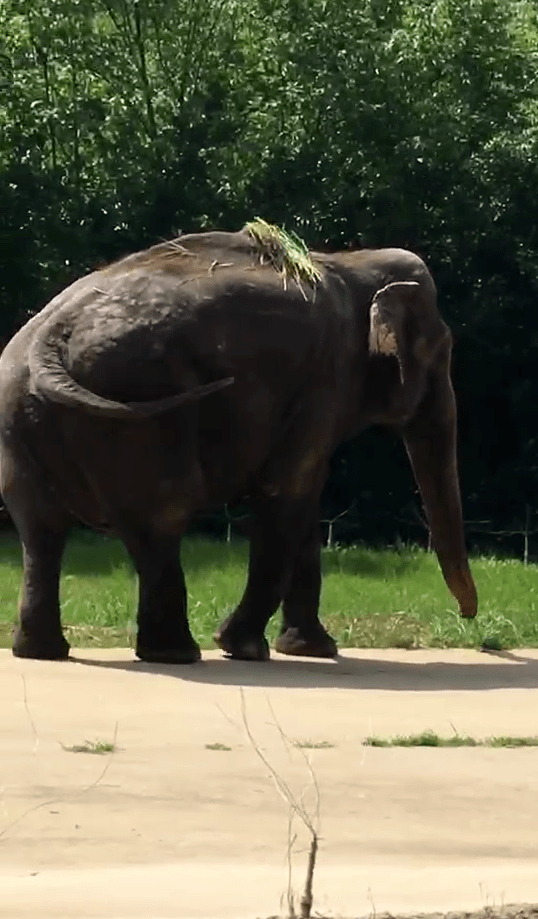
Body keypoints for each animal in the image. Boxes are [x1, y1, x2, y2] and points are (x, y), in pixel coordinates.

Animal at [0, 226, 478, 664]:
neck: (353, 262)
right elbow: (285, 493)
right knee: (163, 514)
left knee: (40, 528)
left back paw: (42, 652)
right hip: (139, 406)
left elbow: (304, 504)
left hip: (21, 415)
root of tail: (51, 339)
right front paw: (243, 647)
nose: (467, 617)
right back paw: (176, 654)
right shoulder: (326, 378)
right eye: (440, 351)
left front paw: (311, 650)